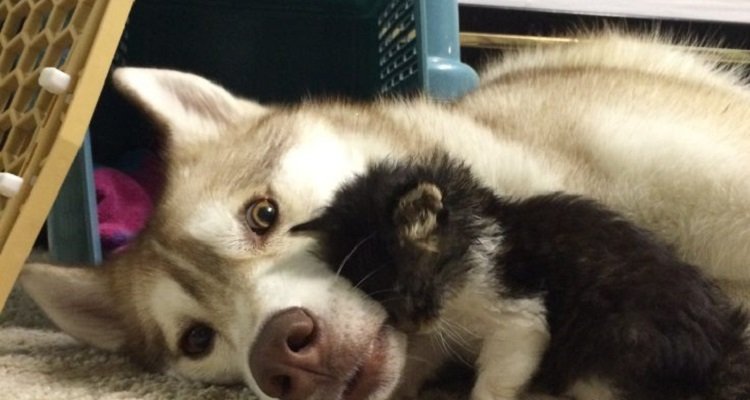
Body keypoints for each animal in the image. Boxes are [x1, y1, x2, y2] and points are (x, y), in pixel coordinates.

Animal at [292, 154, 750, 400]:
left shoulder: (519, 316)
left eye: (410, 289)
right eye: (379, 299)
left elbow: (494, 379)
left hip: (611, 351)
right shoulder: (446, 331)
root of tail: (724, 346)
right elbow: (422, 358)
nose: (410, 324)